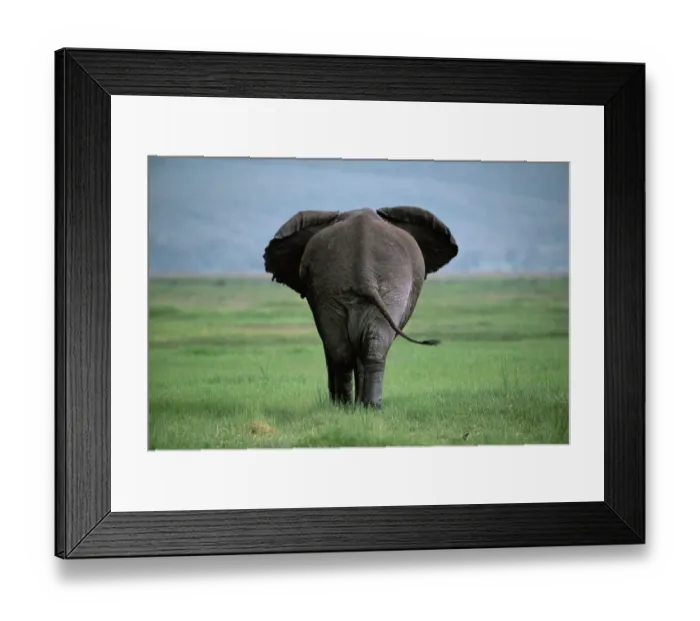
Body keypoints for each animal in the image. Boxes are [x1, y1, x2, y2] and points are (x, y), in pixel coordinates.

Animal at [263, 206, 458, 409]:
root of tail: (363, 267)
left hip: (352, 287)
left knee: (348, 347)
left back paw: (355, 406)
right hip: (379, 286)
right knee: (357, 345)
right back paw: (359, 406)